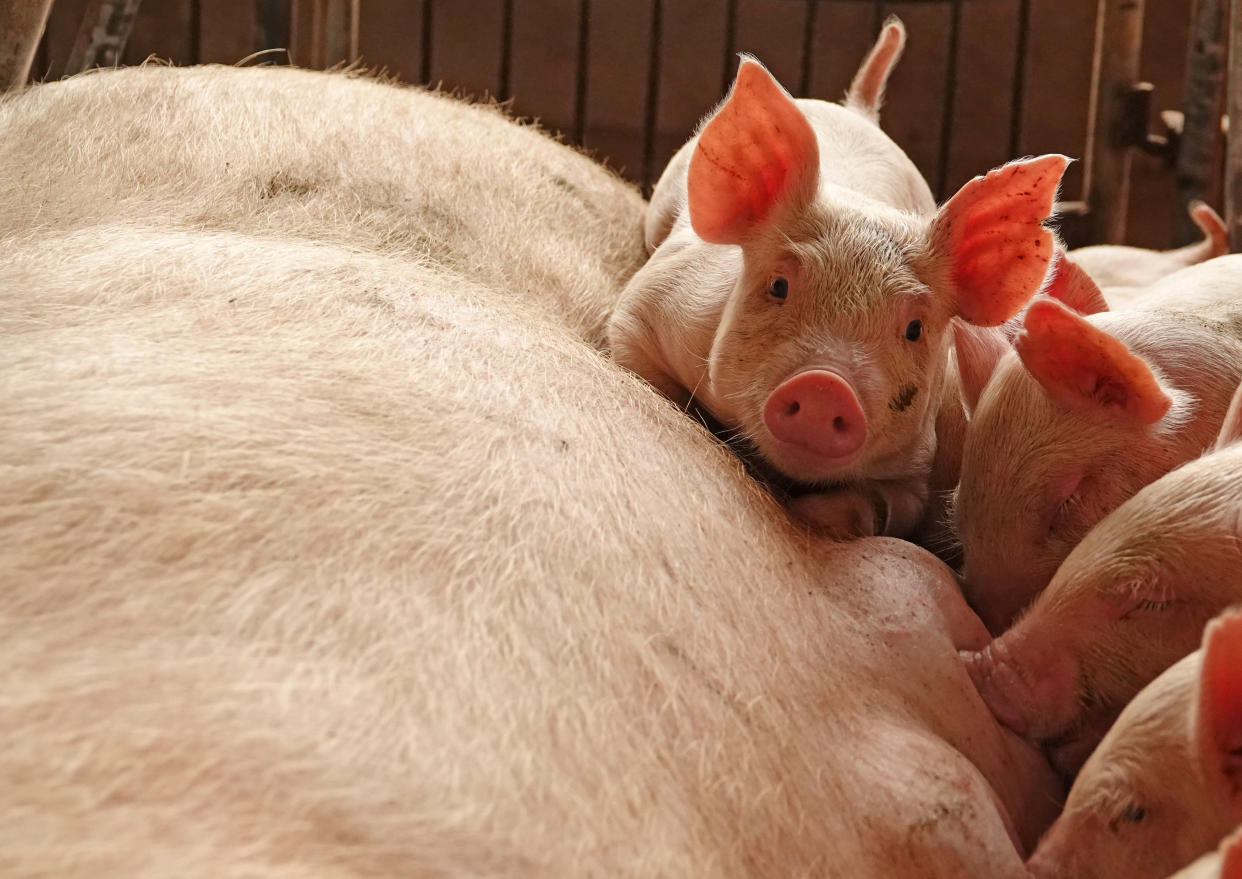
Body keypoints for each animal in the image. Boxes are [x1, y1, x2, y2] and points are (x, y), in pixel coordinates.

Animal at [606, 22, 1073, 541]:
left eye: (915, 329)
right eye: (779, 286)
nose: (824, 385)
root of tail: (858, 110)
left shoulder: (916, 465)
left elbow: (891, 506)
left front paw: (819, 515)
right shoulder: (648, 308)